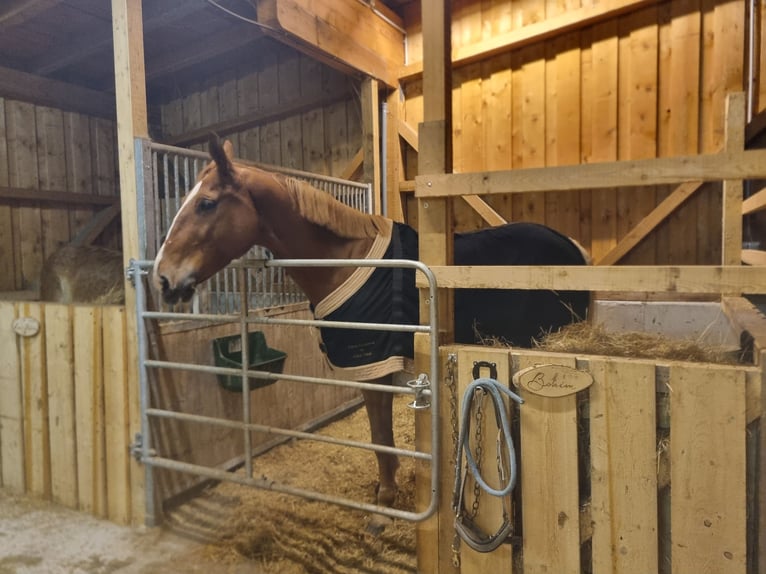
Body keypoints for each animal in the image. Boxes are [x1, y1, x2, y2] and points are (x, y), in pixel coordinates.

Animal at [153, 137, 592, 532]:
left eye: (206, 203)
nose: (163, 278)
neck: (343, 262)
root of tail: (573, 248)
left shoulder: (373, 366)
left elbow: (380, 436)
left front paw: (384, 505)